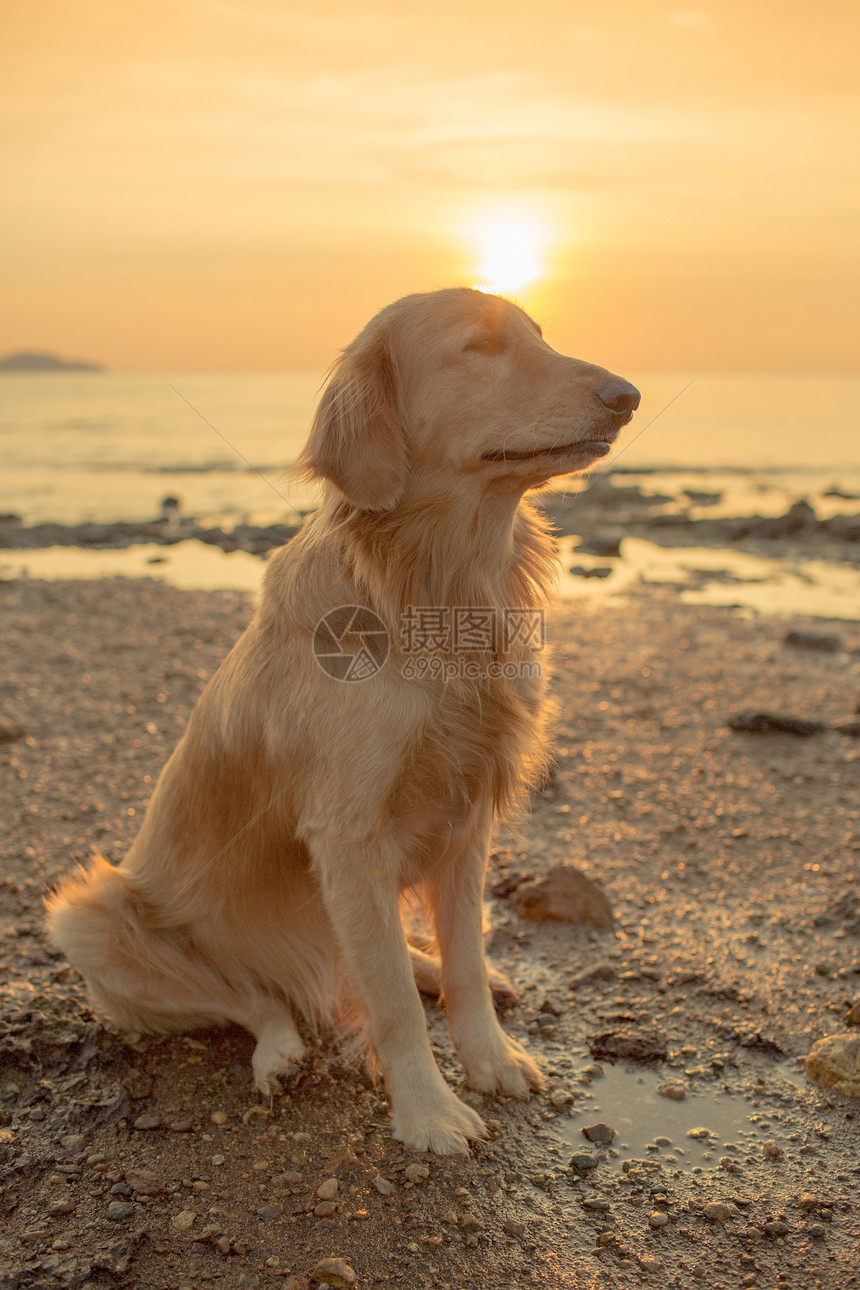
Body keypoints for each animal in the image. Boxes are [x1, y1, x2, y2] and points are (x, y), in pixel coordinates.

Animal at [45, 287, 639, 1155]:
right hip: (90, 920)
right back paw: (280, 1051)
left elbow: (463, 960)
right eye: (481, 347)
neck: (439, 587)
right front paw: (427, 1112)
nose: (627, 396)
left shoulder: (467, 817)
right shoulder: (348, 835)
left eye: (541, 336)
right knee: (258, 998)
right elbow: (389, 1001)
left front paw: (489, 1058)